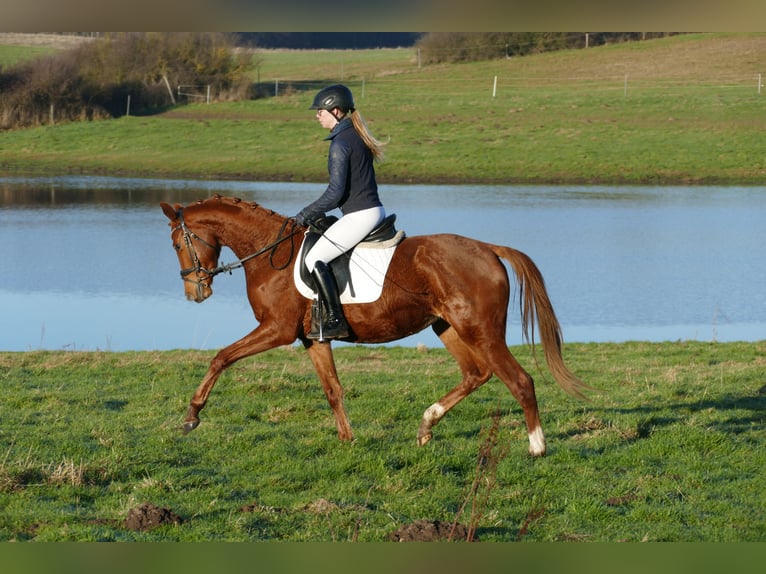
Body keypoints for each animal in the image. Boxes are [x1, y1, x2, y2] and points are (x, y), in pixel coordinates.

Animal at [160, 195, 588, 457]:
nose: (195, 292)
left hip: (479, 330)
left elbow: (221, 357)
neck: (271, 254)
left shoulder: (277, 330)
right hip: (447, 328)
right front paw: (347, 439)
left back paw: (536, 447)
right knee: (476, 374)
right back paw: (426, 426)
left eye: (178, 244)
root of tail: (488, 249)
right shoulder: (312, 339)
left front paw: (192, 416)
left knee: (519, 380)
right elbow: (332, 389)